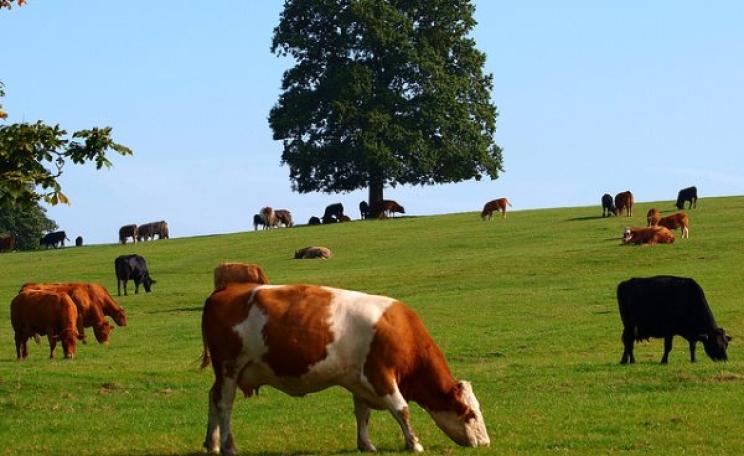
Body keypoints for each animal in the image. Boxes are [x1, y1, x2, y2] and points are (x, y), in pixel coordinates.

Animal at [200, 283, 490, 454]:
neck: (401, 330)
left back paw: (211, 443)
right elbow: (402, 409)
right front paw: (414, 443)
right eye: (470, 413)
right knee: (224, 403)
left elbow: (362, 414)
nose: (486, 443)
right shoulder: (380, 374)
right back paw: (227, 445)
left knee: (212, 398)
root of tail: (223, 291)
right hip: (229, 367)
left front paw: (366, 444)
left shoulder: (358, 380)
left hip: (225, 372)